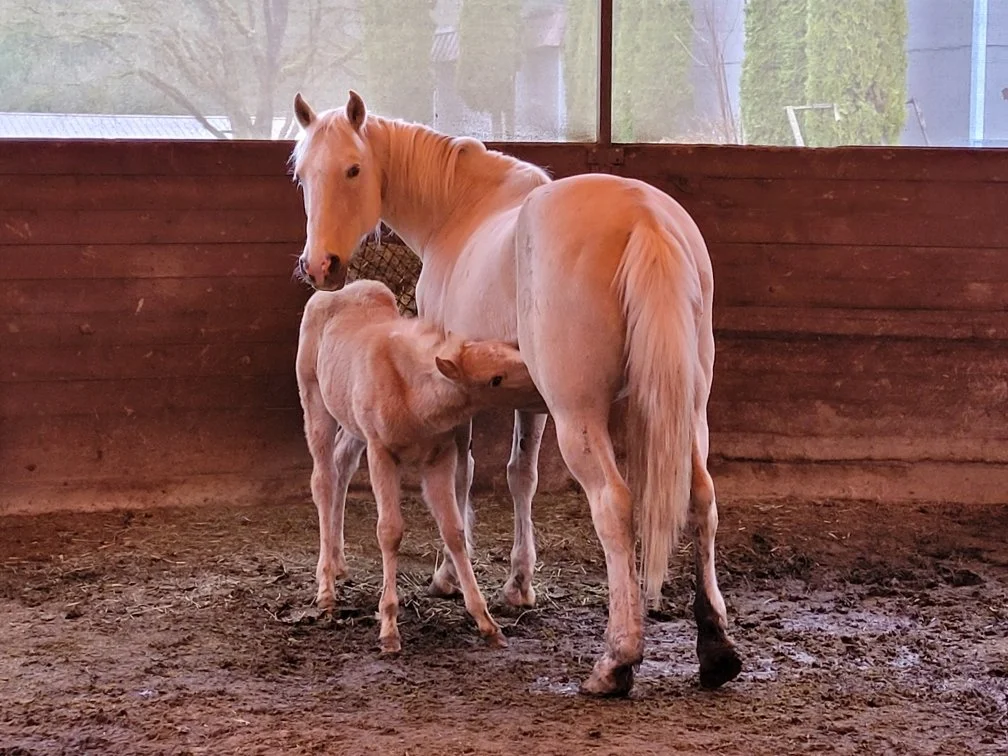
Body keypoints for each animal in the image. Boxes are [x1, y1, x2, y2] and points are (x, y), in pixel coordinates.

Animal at [296, 278, 545, 654]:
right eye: (496, 379)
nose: (543, 385)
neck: (413, 393)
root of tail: (335, 291)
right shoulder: (381, 453)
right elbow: (390, 531)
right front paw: (389, 628)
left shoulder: (439, 458)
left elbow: (454, 530)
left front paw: (486, 622)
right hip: (315, 400)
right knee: (323, 479)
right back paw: (326, 589)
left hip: (352, 422)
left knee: (342, 463)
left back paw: (338, 564)